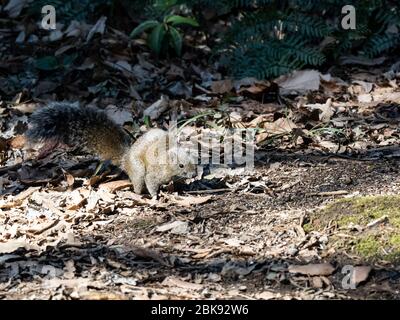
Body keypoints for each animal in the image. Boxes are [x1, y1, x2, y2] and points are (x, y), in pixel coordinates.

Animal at [25, 104, 198, 196]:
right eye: (181, 165)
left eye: (195, 162)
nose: (194, 175)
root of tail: (125, 160)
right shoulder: (154, 172)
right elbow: (151, 182)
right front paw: (156, 196)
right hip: (138, 170)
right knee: (138, 183)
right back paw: (139, 194)